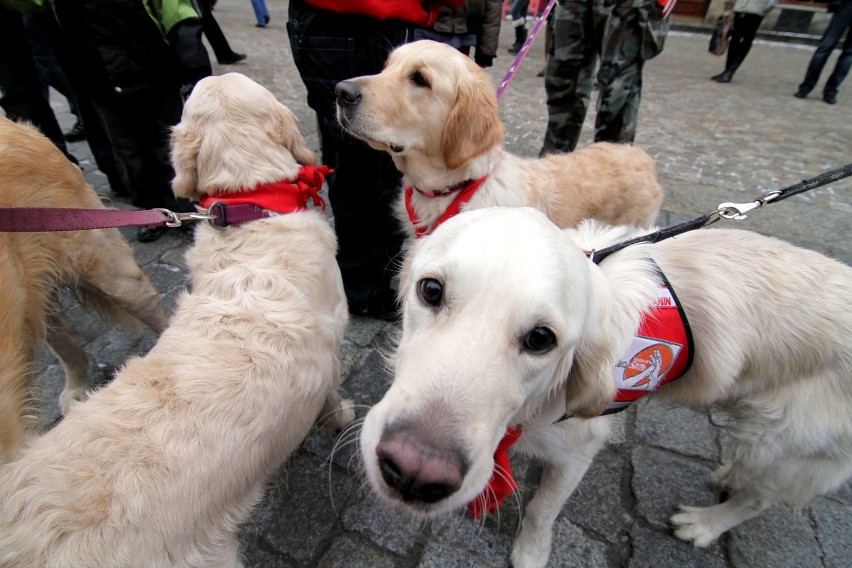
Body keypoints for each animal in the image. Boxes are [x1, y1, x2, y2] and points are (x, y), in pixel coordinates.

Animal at [360, 206, 852, 564]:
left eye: (541, 339)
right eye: (431, 290)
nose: (414, 472)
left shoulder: (579, 449)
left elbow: (541, 509)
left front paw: (531, 553)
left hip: (778, 442)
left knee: (758, 499)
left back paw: (705, 523)